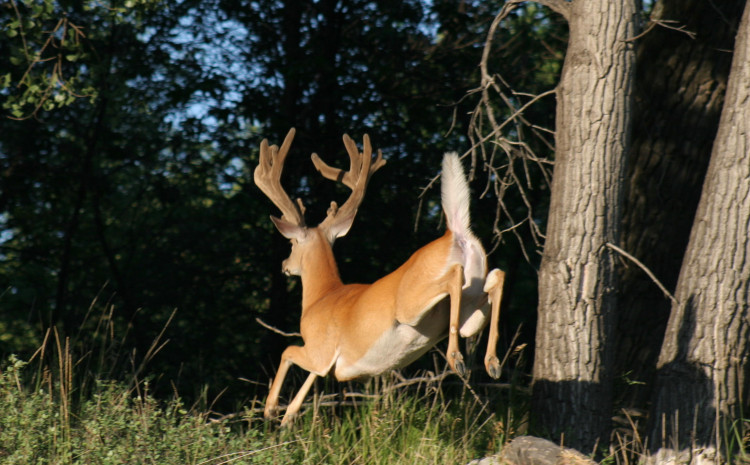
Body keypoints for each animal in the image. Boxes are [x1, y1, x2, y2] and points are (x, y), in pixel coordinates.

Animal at [256, 127, 508, 424]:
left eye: (292, 244)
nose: (285, 264)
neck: (320, 297)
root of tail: (455, 234)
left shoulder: (319, 347)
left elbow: (288, 352)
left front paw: (271, 408)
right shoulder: (325, 362)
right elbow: (308, 382)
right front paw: (287, 417)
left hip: (411, 304)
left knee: (455, 276)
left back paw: (456, 358)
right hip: (471, 312)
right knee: (497, 277)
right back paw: (492, 363)